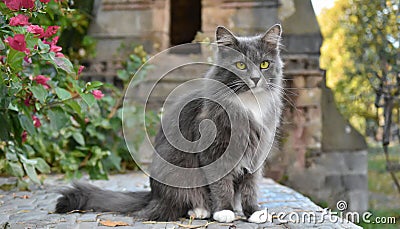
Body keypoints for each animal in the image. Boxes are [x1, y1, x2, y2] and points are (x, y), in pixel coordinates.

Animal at [55, 24, 284, 224]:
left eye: (264, 64)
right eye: (240, 65)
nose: (255, 79)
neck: (248, 104)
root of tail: (153, 194)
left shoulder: (257, 151)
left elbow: (250, 187)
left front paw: (252, 211)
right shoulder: (215, 150)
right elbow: (221, 185)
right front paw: (223, 211)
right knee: (181, 201)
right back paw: (200, 210)